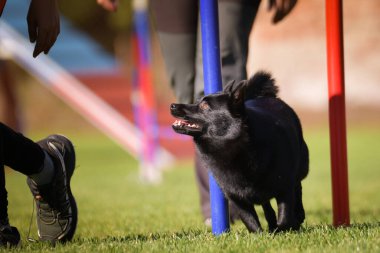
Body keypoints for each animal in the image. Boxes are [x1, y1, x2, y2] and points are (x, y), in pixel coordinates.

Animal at [171, 71, 308, 233]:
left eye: (204, 105)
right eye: (197, 101)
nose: (172, 105)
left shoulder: (284, 188)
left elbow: (285, 217)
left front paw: (287, 227)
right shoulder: (236, 198)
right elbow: (251, 223)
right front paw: (264, 235)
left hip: (300, 167)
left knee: (298, 187)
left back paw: (298, 215)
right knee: (266, 204)